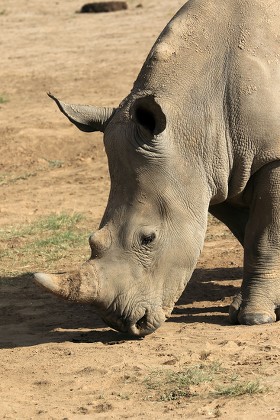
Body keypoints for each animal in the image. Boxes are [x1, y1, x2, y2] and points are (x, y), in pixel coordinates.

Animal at [34, 0, 280, 334]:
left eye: (148, 238)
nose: (123, 324)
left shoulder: (270, 156)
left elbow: (264, 238)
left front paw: (255, 317)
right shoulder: (217, 170)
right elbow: (248, 233)